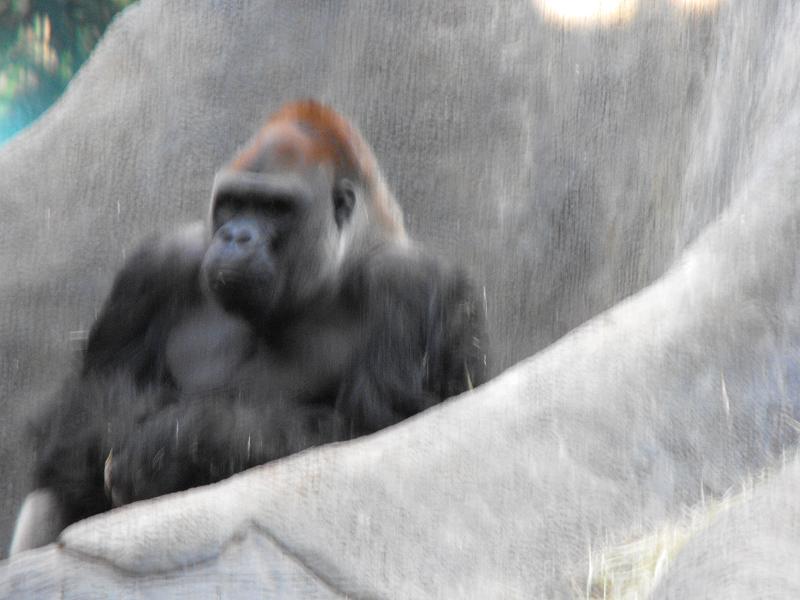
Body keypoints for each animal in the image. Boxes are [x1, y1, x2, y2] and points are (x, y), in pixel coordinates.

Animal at [10, 100, 488, 554]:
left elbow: (375, 429)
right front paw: (131, 431)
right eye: (235, 203)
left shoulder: (410, 283)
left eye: (275, 208)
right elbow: (88, 401)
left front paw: (182, 443)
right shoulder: (155, 266)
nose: (236, 237)